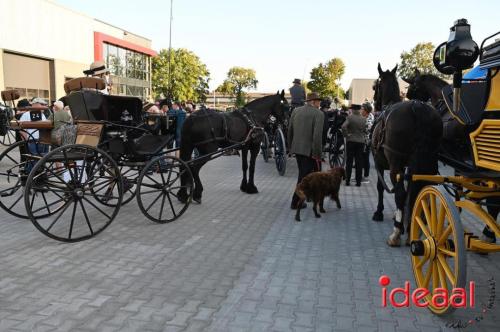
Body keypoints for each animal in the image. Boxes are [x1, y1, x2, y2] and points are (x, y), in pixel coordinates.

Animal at [372, 65, 442, 246]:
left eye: (375, 87)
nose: (375, 105)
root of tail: (418, 108)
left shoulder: (379, 162)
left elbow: (381, 187)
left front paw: (379, 212)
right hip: (429, 161)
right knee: (421, 188)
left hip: (395, 164)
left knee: (400, 193)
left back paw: (396, 233)